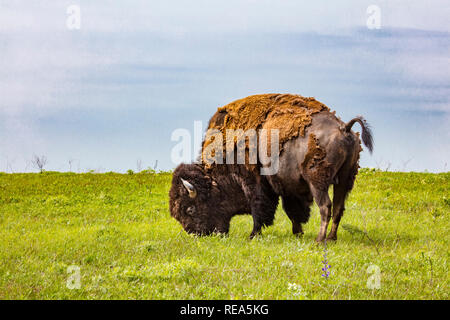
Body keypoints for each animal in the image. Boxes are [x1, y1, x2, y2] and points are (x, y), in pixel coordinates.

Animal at [169, 94, 372, 241]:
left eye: (190, 209)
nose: (197, 234)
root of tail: (343, 128)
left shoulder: (255, 183)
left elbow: (259, 208)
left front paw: (253, 235)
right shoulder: (288, 188)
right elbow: (292, 211)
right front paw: (297, 232)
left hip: (317, 182)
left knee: (326, 207)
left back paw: (319, 239)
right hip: (345, 180)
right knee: (338, 207)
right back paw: (331, 238)